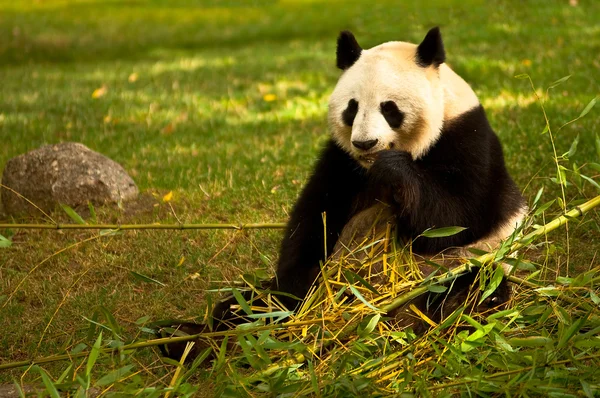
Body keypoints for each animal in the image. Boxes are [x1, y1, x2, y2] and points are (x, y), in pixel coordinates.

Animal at [162, 27, 528, 358]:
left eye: (389, 108)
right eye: (352, 108)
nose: (365, 143)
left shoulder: (468, 140)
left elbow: (455, 219)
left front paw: (395, 171)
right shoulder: (341, 161)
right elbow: (314, 221)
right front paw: (306, 284)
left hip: (461, 268)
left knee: (472, 289)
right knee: (245, 305)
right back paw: (186, 338)